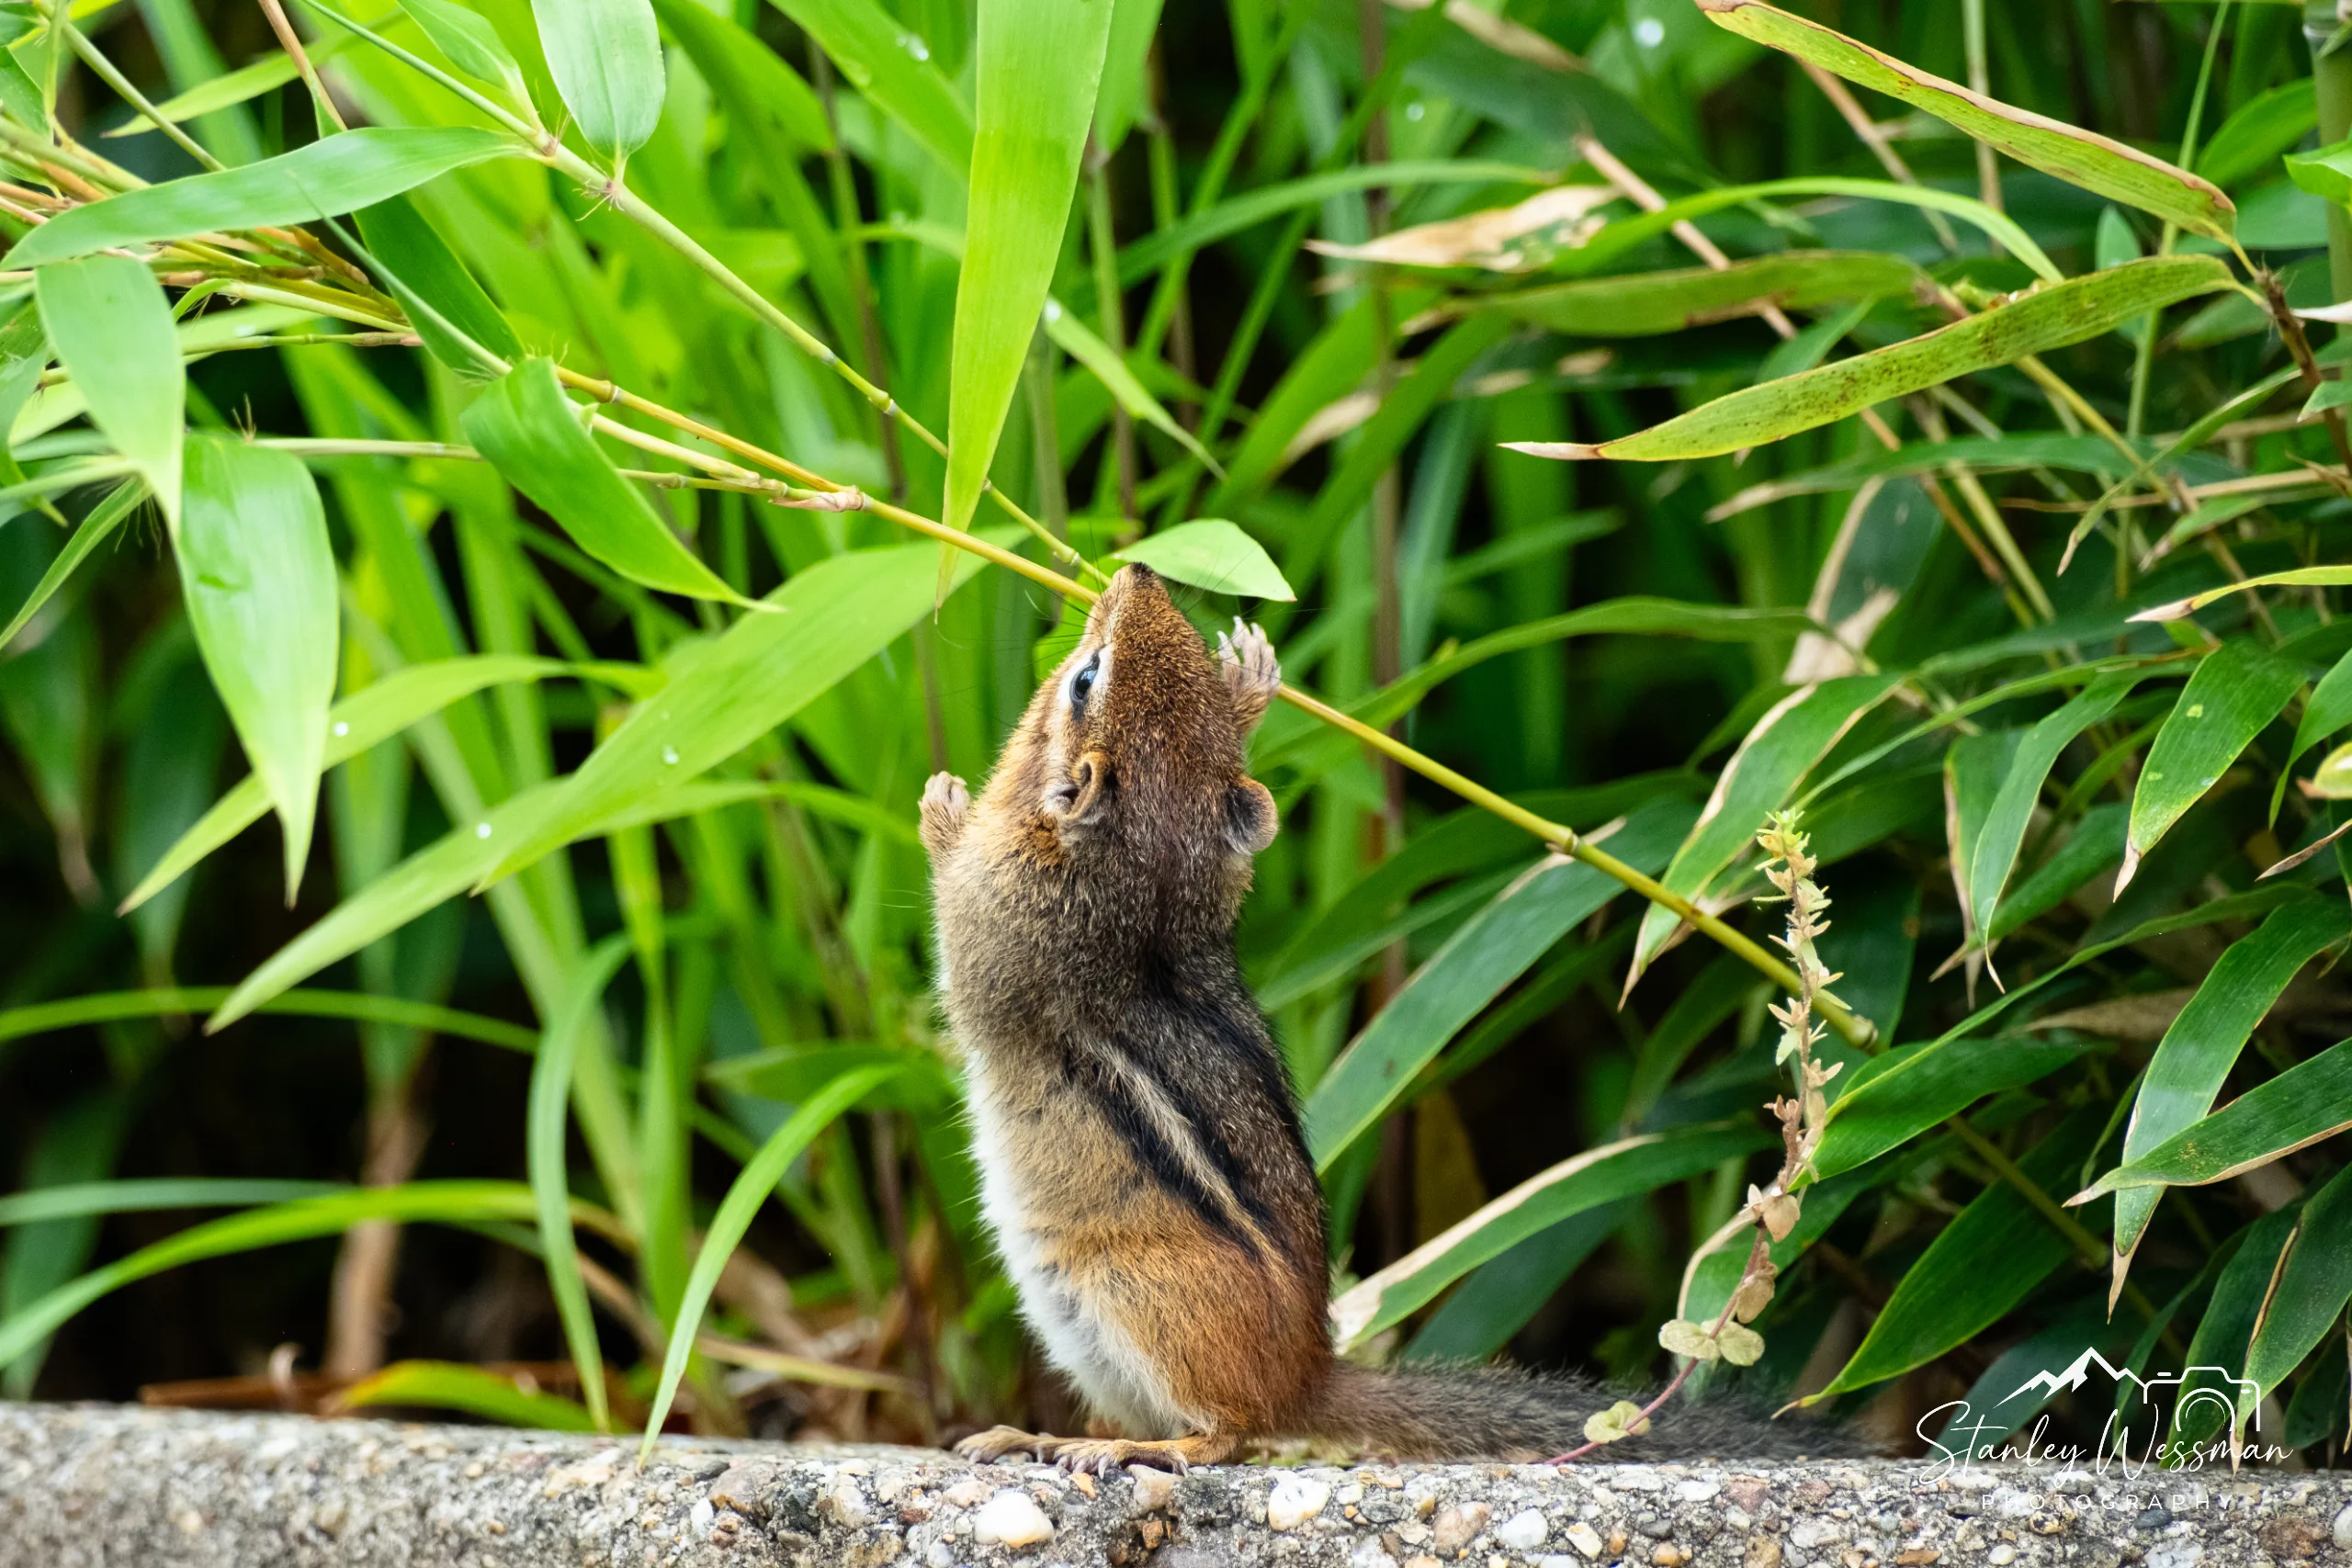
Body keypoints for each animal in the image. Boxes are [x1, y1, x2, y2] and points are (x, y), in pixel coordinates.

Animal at [921, 563, 1832, 1474]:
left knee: (1231, 1432)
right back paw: (1037, 1433)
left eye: (1086, 677)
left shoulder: (1000, 921)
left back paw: (1132, 1448)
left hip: (1137, 1297)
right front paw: (1252, 684)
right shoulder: (1216, 878)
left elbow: (953, 932)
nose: (1140, 572)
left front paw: (942, 810)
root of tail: (1308, 1376)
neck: (1148, 890)